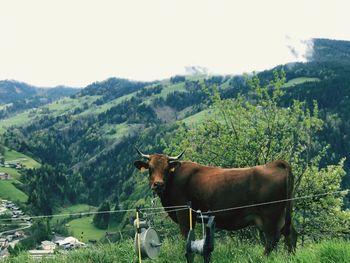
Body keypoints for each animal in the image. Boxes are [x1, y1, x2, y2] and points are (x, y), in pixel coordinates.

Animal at [134, 150, 298, 255]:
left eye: (167, 168)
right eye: (150, 168)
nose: (158, 184)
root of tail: (276, 163)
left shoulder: (183, 211)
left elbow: (185, 235)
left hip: (269, 215)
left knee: (272, 239)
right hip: (283, 213)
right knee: (290, 234)